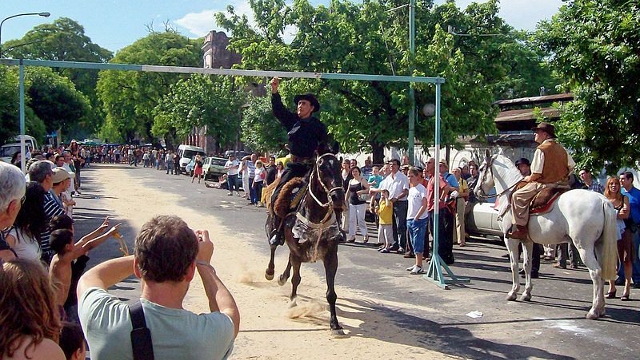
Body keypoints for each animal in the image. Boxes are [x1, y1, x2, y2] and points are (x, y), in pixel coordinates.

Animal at [264, 153, 348, 334]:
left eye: (340, 167)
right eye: (322, 168)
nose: (338, 198)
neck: (316, 215)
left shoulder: (331, 257)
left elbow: (331, 293)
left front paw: (335, 324)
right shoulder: (297, 252)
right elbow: (296, 279)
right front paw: (292, 305)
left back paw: (282, 277)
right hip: (272, 227)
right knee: (273, 247)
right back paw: (271, 272)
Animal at [476, 150, 620, 320]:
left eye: (481, 169)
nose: (476, 191)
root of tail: (602, 199)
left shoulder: (510, 240)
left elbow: (514, 265)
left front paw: (513, 292)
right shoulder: (527, 241)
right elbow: (527, 265)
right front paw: (526, 293)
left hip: (584, 247)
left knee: (596, 272)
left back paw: (594, 310)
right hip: (600, 245)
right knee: (602, 272)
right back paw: (602, 308)